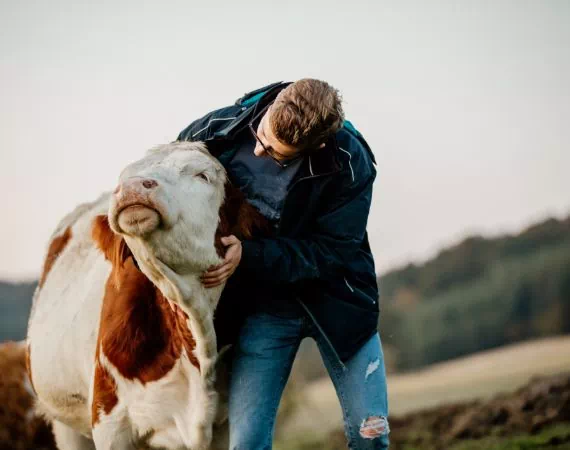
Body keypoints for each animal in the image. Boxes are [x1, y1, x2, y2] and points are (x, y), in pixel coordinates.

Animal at [26, 142, 266, 450]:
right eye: (125, 175)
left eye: (202, 175)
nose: (131, 187)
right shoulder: (108, 420)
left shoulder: (223, 427)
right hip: (65, 424)